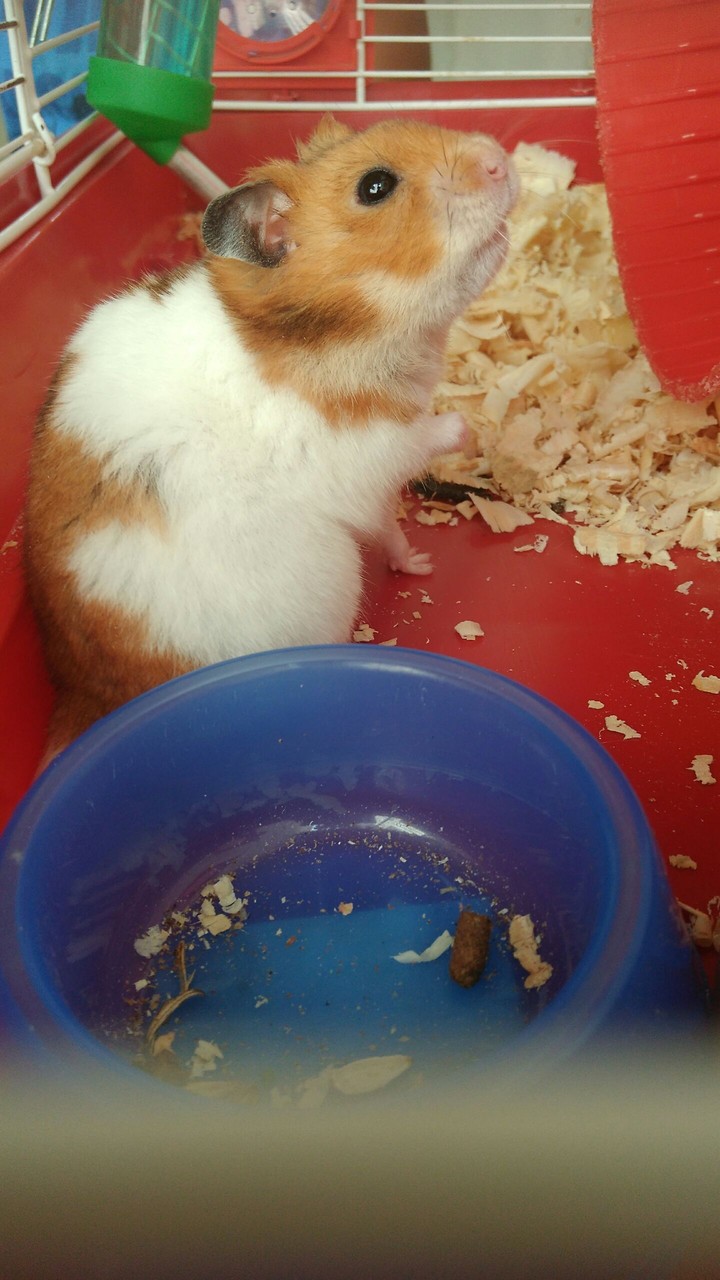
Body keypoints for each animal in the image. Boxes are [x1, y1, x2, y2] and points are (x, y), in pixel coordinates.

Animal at [24, 115, 518, 756]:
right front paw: (468, 427)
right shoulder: (371, 454)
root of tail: (84, 699)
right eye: (375, 187)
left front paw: (419, 563)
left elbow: (389, 529)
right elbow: (424, 438)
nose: (500, 160)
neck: (343, 334)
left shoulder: (380, 489)